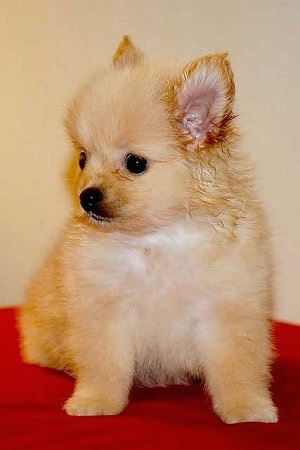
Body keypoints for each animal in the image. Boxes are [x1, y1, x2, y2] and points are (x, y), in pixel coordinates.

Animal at [18, 37, 278, 424]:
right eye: (83, 158)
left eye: (135, 164)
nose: (86, 196)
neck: (158, 237)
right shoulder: (104, 309)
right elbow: (104, 365)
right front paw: (96, 401)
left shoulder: (229, 307)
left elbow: (238, 366)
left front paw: (248, 408)